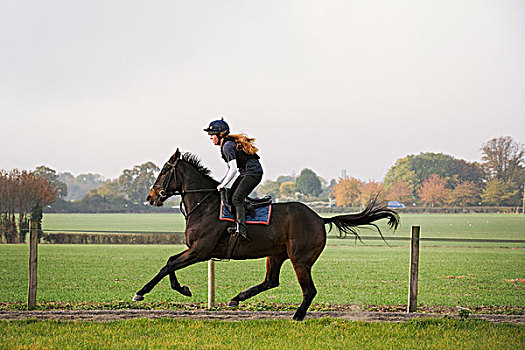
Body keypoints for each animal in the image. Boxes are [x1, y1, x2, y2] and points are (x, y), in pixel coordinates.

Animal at [132, 149, 398, 322]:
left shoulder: (201, 250)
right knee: (271, 281)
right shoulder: (197, 250)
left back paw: (297, 315)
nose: (150, 197)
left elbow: (168, 265)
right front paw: (183, 289)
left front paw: (141, 292)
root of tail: (319, 218)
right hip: (277, 254)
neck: (204, 205)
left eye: (164, 171)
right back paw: (237, 298)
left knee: (309, 290)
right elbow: (170, 262)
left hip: (300, 259)